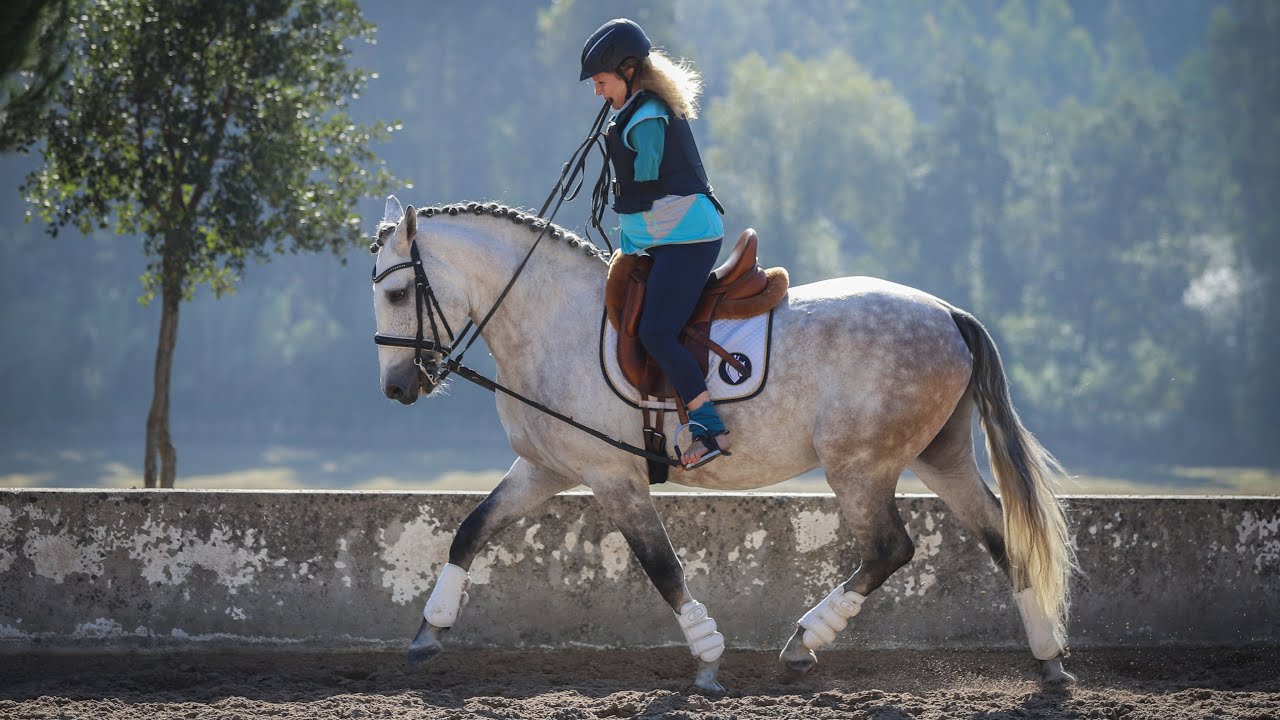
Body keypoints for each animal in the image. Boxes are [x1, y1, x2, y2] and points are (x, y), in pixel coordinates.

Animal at [370, 195, 1076, 692]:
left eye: (397, 292)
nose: (398, 387)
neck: (553, 322)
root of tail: (948, 313)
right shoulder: (546, 468)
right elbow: (471, 530)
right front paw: (428, 632)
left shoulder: (613, 477)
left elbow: (663, 569)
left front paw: (708, 662)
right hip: (940, 457)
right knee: (1002, 539)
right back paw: (1048, 660)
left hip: (860, 467)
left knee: (890, 548)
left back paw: (804, 641)